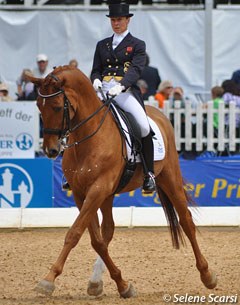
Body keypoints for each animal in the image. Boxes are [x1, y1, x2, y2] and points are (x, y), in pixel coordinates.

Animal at [27, 66, 217, 296]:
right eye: (39, 106)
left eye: (56, 107)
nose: (50, 150)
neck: (89, 136)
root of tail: (160, 115)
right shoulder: (83, 194)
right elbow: (96, 239)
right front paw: (122, 284)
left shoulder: (98, 189)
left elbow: (75, 233)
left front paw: (48, 280)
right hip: (108, 195)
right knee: (108, 230)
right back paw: (96, 281)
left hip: (168, 177)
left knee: (186, 221)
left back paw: (207, 276)